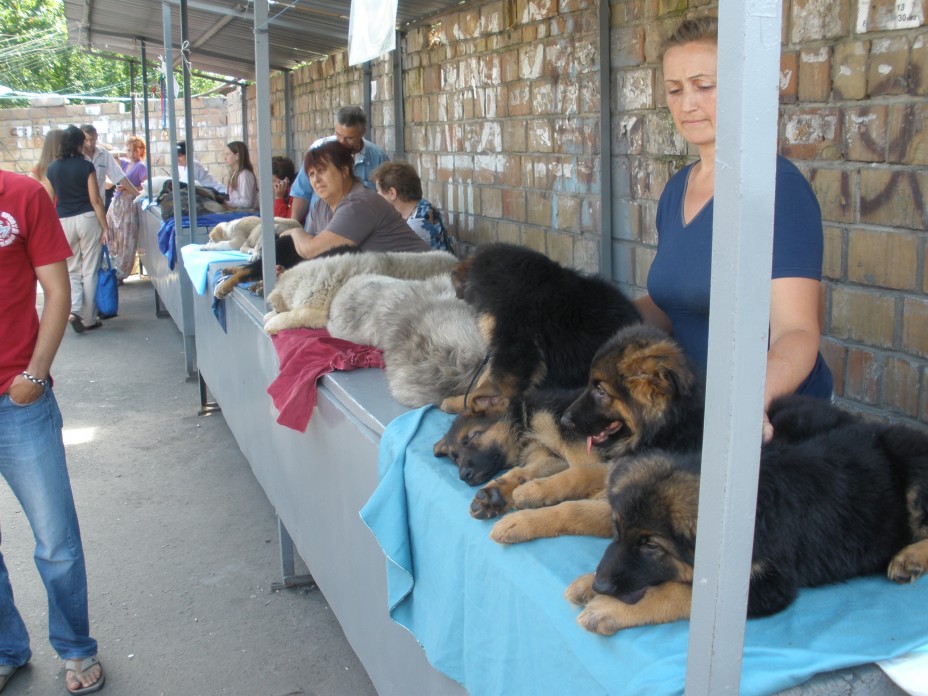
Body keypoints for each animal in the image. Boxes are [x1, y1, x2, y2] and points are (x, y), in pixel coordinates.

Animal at [564, 394, 928, 632]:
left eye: (651, 546)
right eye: (616, 530)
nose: (601, 584)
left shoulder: (765, 585)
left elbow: (677, 591)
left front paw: (606, 608)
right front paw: (587, 584)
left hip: (911, 464)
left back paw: (909, 558)